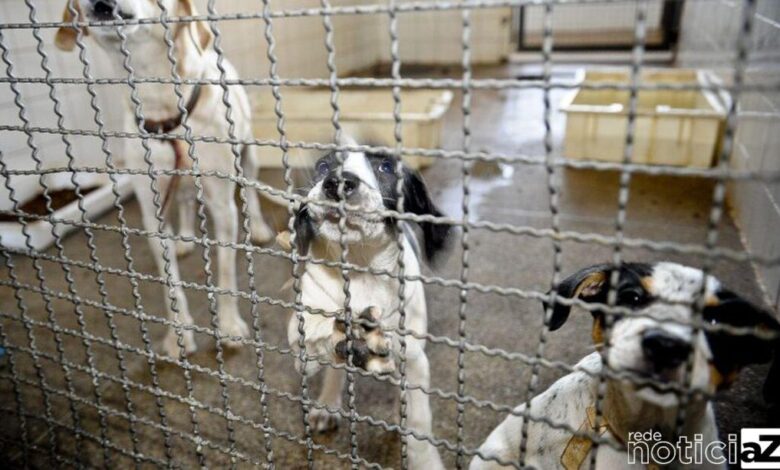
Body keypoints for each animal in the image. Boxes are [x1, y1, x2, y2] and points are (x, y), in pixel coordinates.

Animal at [54, 0, 278, 354]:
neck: (162, 109)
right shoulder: (152, 211)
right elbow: (170, 283)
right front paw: (178, 334)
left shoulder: (222, 206)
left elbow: (226, 274)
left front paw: (229, 326)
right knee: (185, 201)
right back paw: (185, 237)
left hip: (248, 156)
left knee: (250, 194)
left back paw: (256, 227)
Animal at [286, 140, 450, 470]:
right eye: (323, 166)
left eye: (385, 167)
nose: (336, 182)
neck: (361, 267)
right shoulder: (301, 339)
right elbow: (318, 333)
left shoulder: (415, 359)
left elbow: (419, 418)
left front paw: (424, 459)